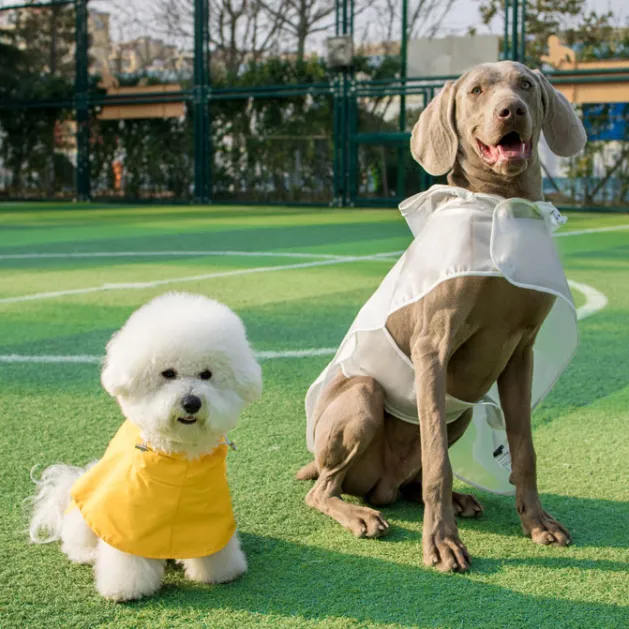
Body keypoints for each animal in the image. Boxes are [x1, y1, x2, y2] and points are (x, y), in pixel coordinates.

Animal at [27, 292, 260, 600]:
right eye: (168, 373)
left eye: (207, 374)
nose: (191, 402)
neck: (178, 457)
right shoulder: (129, 517)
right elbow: (127, 556)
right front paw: (126, 589)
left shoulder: (208, 509)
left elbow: (212, 544)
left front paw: (220, 572)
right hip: (83, 515)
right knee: (76, 540)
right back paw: (87, 554)